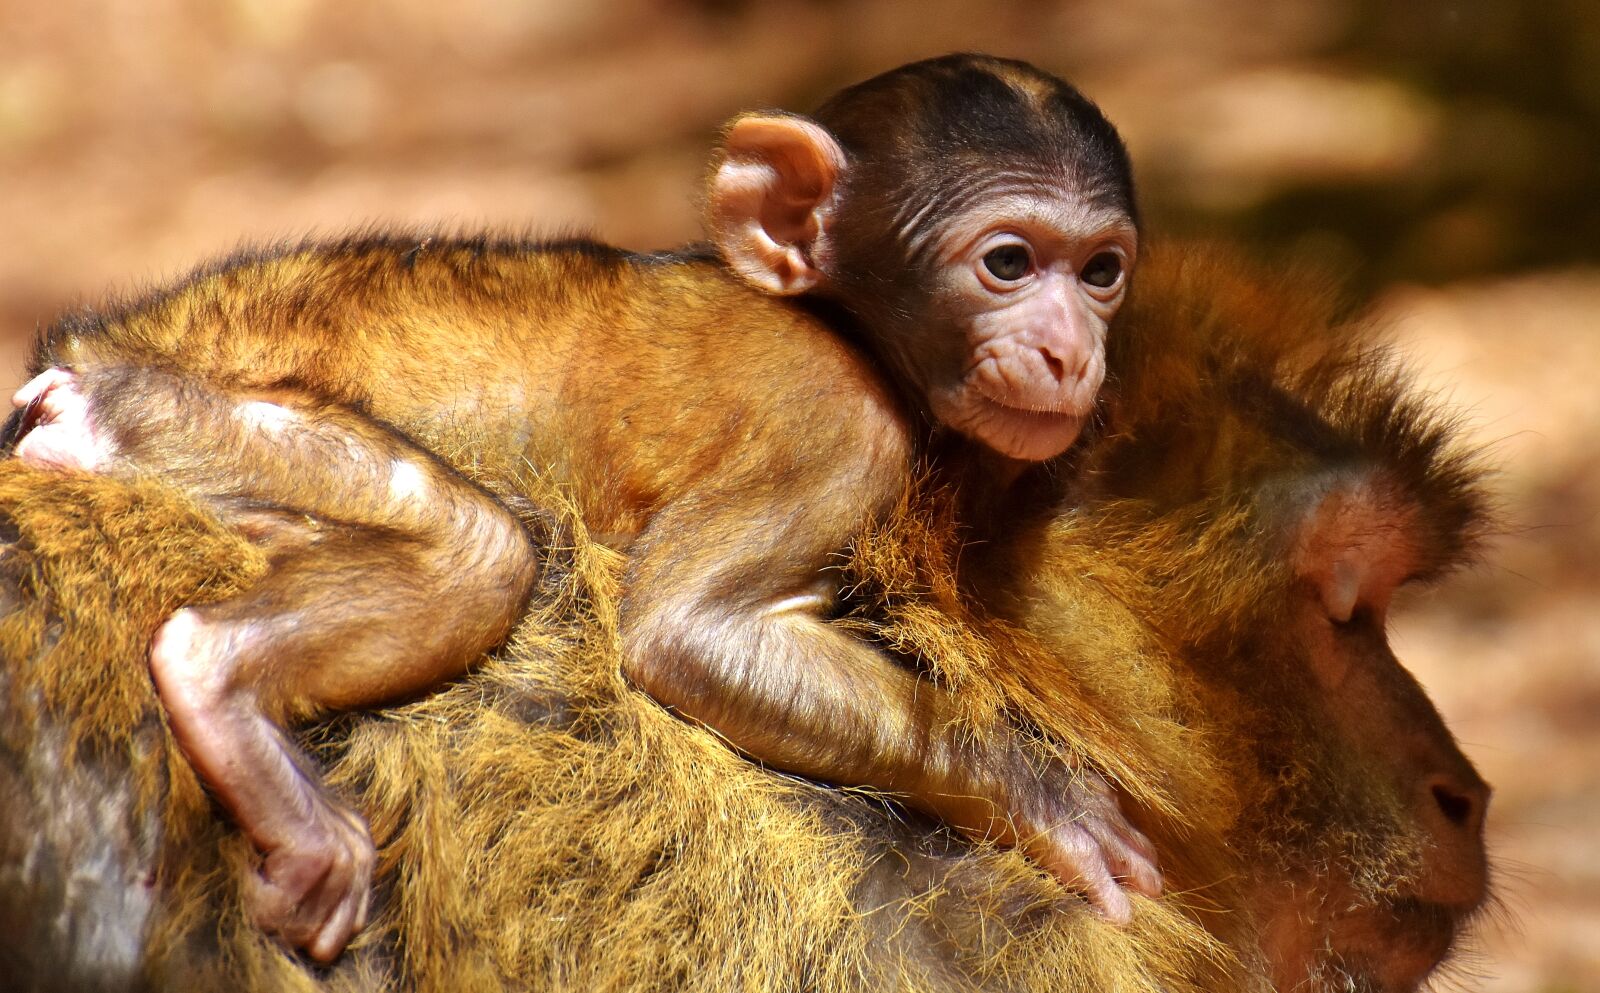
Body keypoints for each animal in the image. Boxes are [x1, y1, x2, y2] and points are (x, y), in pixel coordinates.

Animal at [7, 54, 1150, 961]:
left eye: (1100, 272)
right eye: (1007, 262)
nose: (1070, 351)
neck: (845, 325)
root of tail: (90, 352)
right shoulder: (837, 426)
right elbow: (683, 636)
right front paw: (1046, 800)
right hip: (182, 414)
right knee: (480, 551)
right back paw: (224, 690)